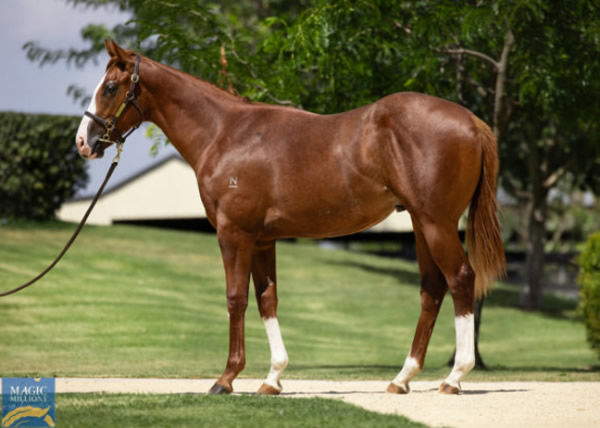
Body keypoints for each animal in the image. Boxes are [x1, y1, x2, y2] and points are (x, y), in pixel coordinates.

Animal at [76, 40, 506, 394]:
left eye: (110, 87)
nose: (84, 142)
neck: (225, 133)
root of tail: (472, 121)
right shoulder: (262, 239)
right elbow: (267, 300)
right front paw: (272, 378)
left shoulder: (233, 234)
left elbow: (235, 298)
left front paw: (226, 379)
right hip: (420, 224)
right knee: (432, 289)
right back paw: (402, 379)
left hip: (436, 224)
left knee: (460, 279)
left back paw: (454, 378)